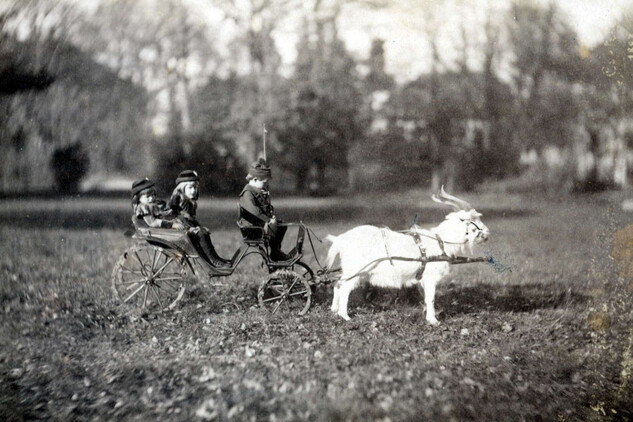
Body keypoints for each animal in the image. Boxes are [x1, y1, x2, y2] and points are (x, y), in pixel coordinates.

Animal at [326, 188, 488, 324]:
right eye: (476, 219)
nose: (487, 233)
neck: (441, 241)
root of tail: (341, 239)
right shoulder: (431, 277)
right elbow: (431, 298)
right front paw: (433, 321)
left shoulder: (422, 278)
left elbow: (426, 297)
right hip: (356, 270)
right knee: (344, 287)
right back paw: (345, 316)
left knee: (337, 284)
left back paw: (334, 310)